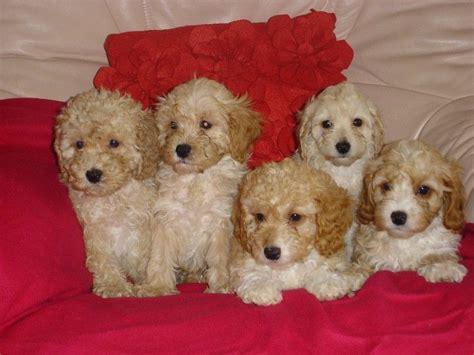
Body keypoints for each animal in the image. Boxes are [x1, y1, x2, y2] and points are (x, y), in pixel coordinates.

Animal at [54, 88, 160, 298]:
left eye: (114, 143)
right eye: (79, 144)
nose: (93, 174)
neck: (113, 196)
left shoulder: (144, 226)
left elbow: (145, 257)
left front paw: (146, 284)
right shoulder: (95, 228)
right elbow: (103, 259)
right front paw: (114, 286)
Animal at [137, 78, 262, 298]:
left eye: (205, 124)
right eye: (173, 125)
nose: (181, 149)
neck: (194, 178)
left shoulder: (221, 222)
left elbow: (219, 257)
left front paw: (220, 286)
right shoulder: (166, 217)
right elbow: (160, 256)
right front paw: (158, 287)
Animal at [231, 159, 364, 306]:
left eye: (295, 216)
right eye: (259, 216)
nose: (271, 252)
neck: (289, 265)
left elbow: (322, 266)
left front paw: (327, 281)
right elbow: (250, 270)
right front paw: (260, 286)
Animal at [356, 139, 466, 284]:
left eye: (424, 189)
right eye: (386, 186)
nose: (398, 217)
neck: (405, 239)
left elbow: (438, 253)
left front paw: (443, 267)